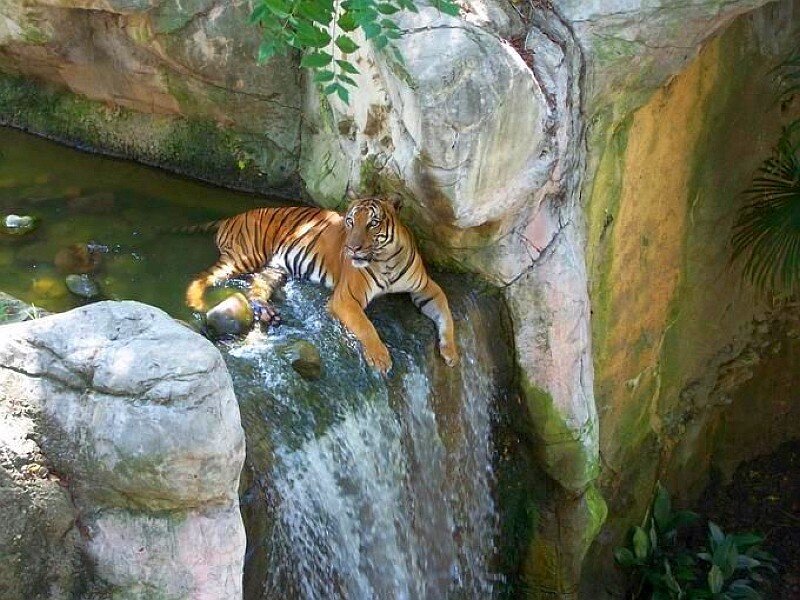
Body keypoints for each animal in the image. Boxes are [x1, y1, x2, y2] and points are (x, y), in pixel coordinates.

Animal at [185, 196, 459, 373]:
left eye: (373, 223)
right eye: (350, 222)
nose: (352, 248)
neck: (386, 258)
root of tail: (232, 216)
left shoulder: (427, 288)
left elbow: (447, 314)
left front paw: (451, 352)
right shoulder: (346, 298)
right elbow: (366, 326)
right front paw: (380, 358)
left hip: (273, 270)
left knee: (255, 289)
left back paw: (268, 314)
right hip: (244, 257)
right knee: (201, 276)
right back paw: (195, 301)